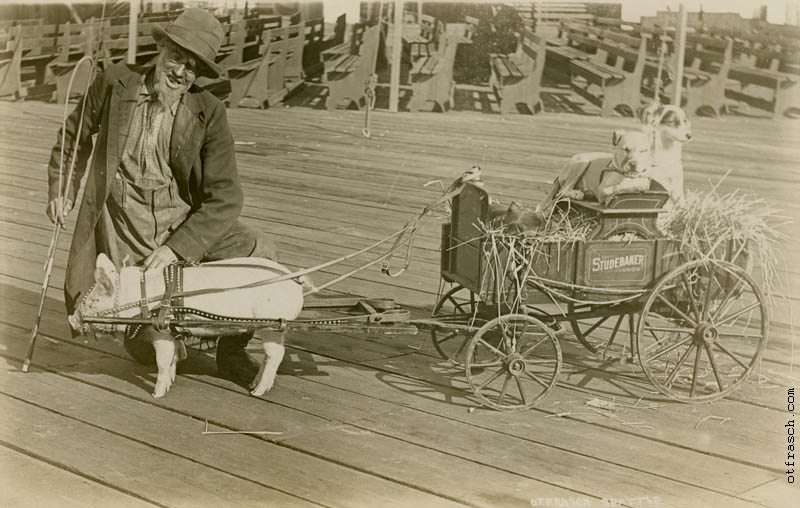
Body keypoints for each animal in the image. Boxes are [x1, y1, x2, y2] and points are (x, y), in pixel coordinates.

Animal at [69, 254, 306, 396]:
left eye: (93, 301)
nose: (71, 319)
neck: (140, 299)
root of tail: (296, 282)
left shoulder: (161, 332)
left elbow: (162, 361)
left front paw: (157, 394)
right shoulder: (172, 334)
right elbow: (173, 358)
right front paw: (172, 380)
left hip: (272, 326)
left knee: (275, 355)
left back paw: (256, 392)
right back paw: (252, 384)